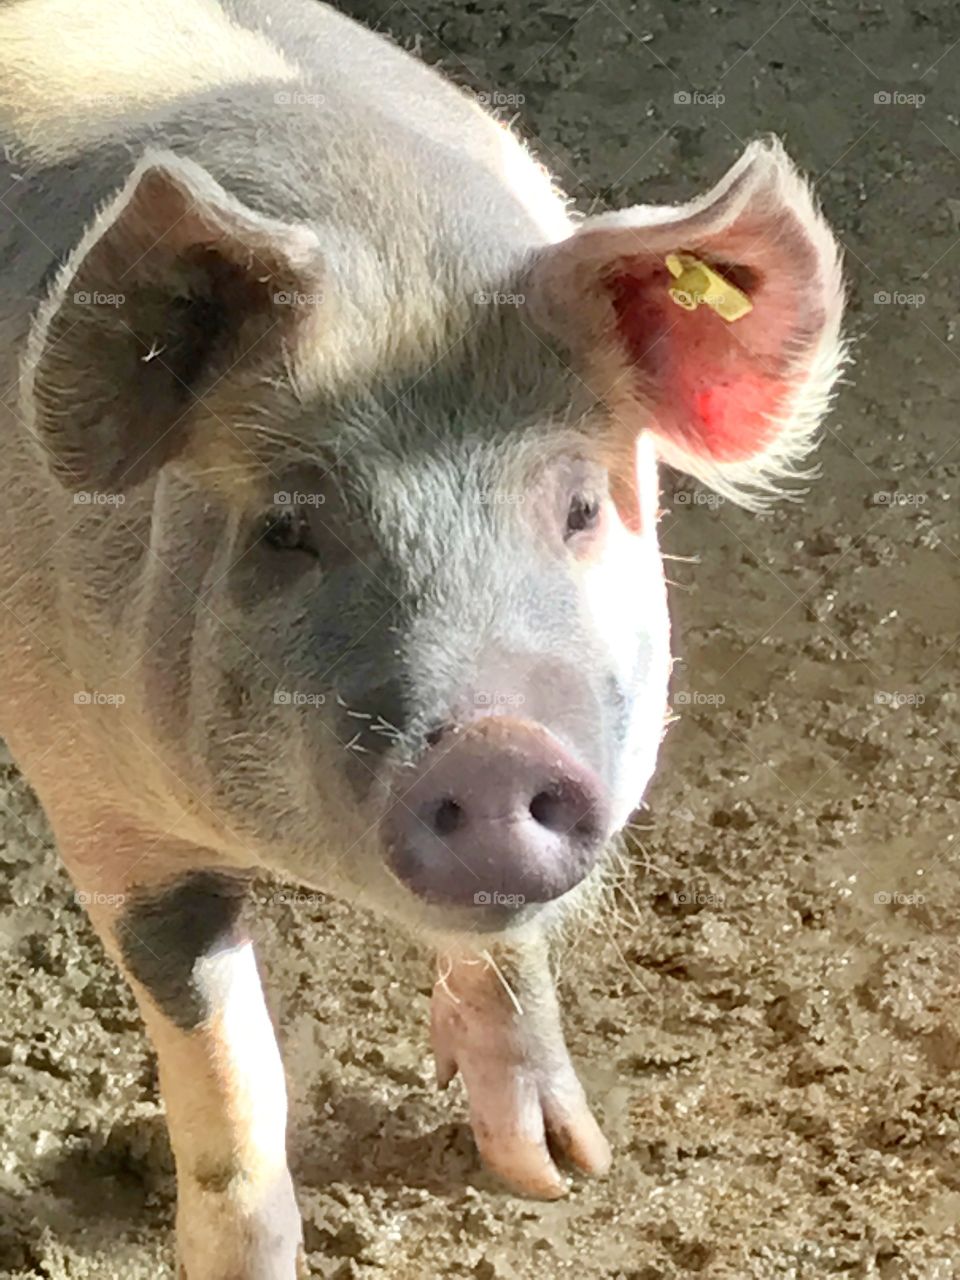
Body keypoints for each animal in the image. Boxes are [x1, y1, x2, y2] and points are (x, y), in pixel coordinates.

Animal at [0, 1, 845, 1276]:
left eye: (581, 505)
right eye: (289, 527)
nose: (491, 746)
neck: (397, 254)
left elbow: (508, 955)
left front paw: (558, 1170)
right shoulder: (91, 783)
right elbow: (224, 1054)